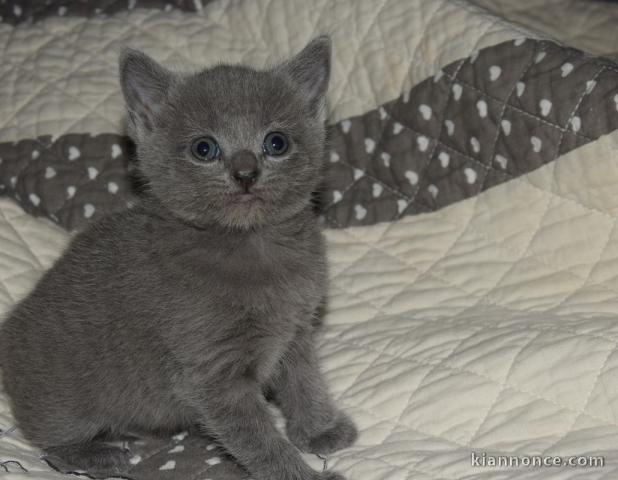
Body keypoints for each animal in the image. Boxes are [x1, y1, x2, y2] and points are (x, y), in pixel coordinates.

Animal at [0, 36, 356, 480]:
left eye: (276, 143)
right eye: (204, 148)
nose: (245, 172)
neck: (251, 245)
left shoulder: (296, 330)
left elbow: (303, 381)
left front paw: (320, 430)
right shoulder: (211, 373)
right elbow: (257, 437)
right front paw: (299, 472)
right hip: (64, 401)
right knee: (50, 445)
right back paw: (100, 455)